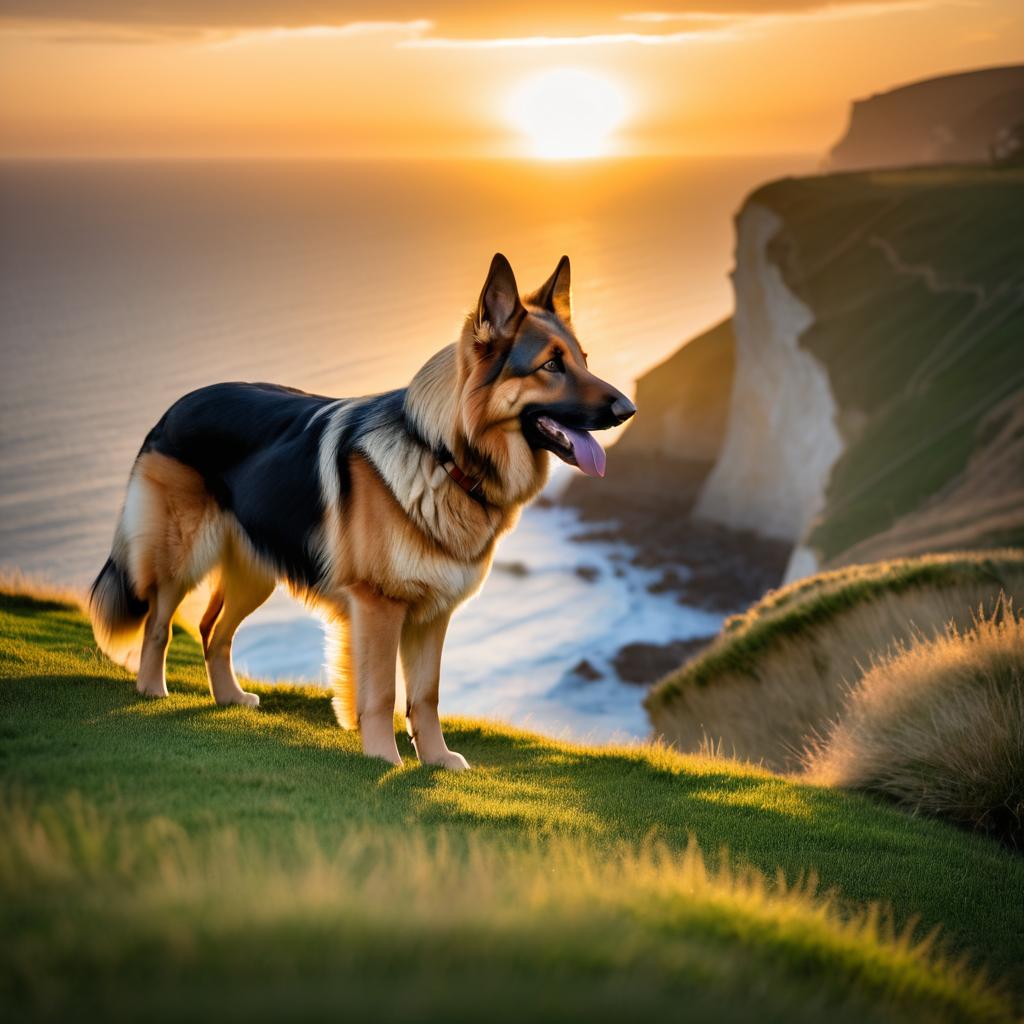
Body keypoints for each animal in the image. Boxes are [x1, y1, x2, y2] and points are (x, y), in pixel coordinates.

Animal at [90, 253, 630, 770]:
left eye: (583, 360)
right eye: (551, 365)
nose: (628, 409)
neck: (443, 454)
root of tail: (173, 408)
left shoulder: (433, 615)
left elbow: (426, 696)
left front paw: (436, 760)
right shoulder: (378, 608)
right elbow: (383, 693)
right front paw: (383, 759)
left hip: (256, 573)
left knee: (211, 630)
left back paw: (228, 698)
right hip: (180, 558)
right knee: (158, 623)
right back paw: (152, 690)